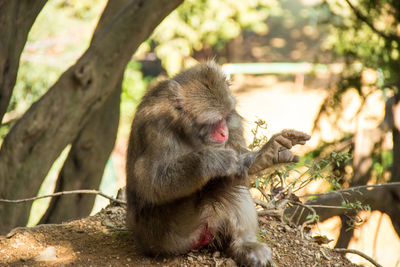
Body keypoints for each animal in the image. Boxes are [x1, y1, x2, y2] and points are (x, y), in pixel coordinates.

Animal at [126, 61, 310, 267]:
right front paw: (212, 161)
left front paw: (267, 155)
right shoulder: (154, 125)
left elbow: (240, 159)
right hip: (165, 235)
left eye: (225, 116)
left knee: (233, 184)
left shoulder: (233, 120)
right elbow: (150, 181)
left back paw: (244, 245)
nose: (223, 132)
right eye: (214, 121)